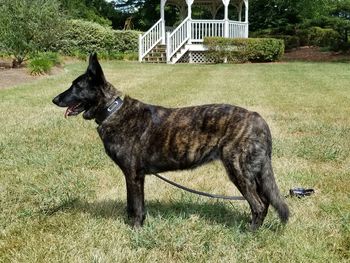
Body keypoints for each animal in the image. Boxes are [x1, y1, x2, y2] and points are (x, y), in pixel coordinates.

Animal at [51, 54, 288, 231]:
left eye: (76, 86)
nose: (54, 99)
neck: (112, 110)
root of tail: (258, 118)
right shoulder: (131, 176)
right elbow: (130, 204)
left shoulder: (134, 176)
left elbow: (137, 206)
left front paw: (135, 229)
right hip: (253, 173)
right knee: (266, 201)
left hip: (238, 171)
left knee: (258, 204)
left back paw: (250, 231)